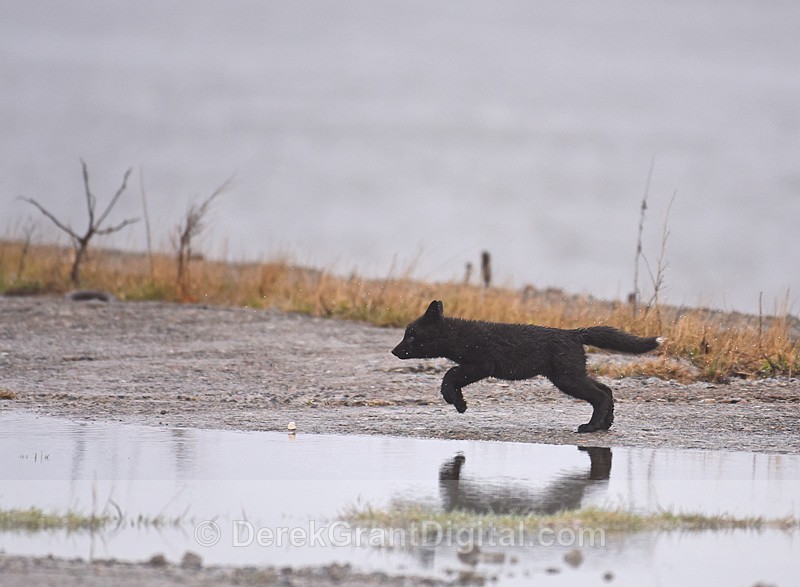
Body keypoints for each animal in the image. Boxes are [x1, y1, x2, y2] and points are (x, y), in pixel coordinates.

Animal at [391, 300, 662, 433]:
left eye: (412, 336)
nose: (394, 351)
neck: (461, 336)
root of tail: (573, 333)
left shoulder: (482, 364)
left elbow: (450, 375)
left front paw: (457, 403)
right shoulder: (473, 366)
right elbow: (453, 376)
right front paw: (460, 403)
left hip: (566, 378)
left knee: (600, 395)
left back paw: (590, 427)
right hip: (571, 373)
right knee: (606, 389)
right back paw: (606, 424)